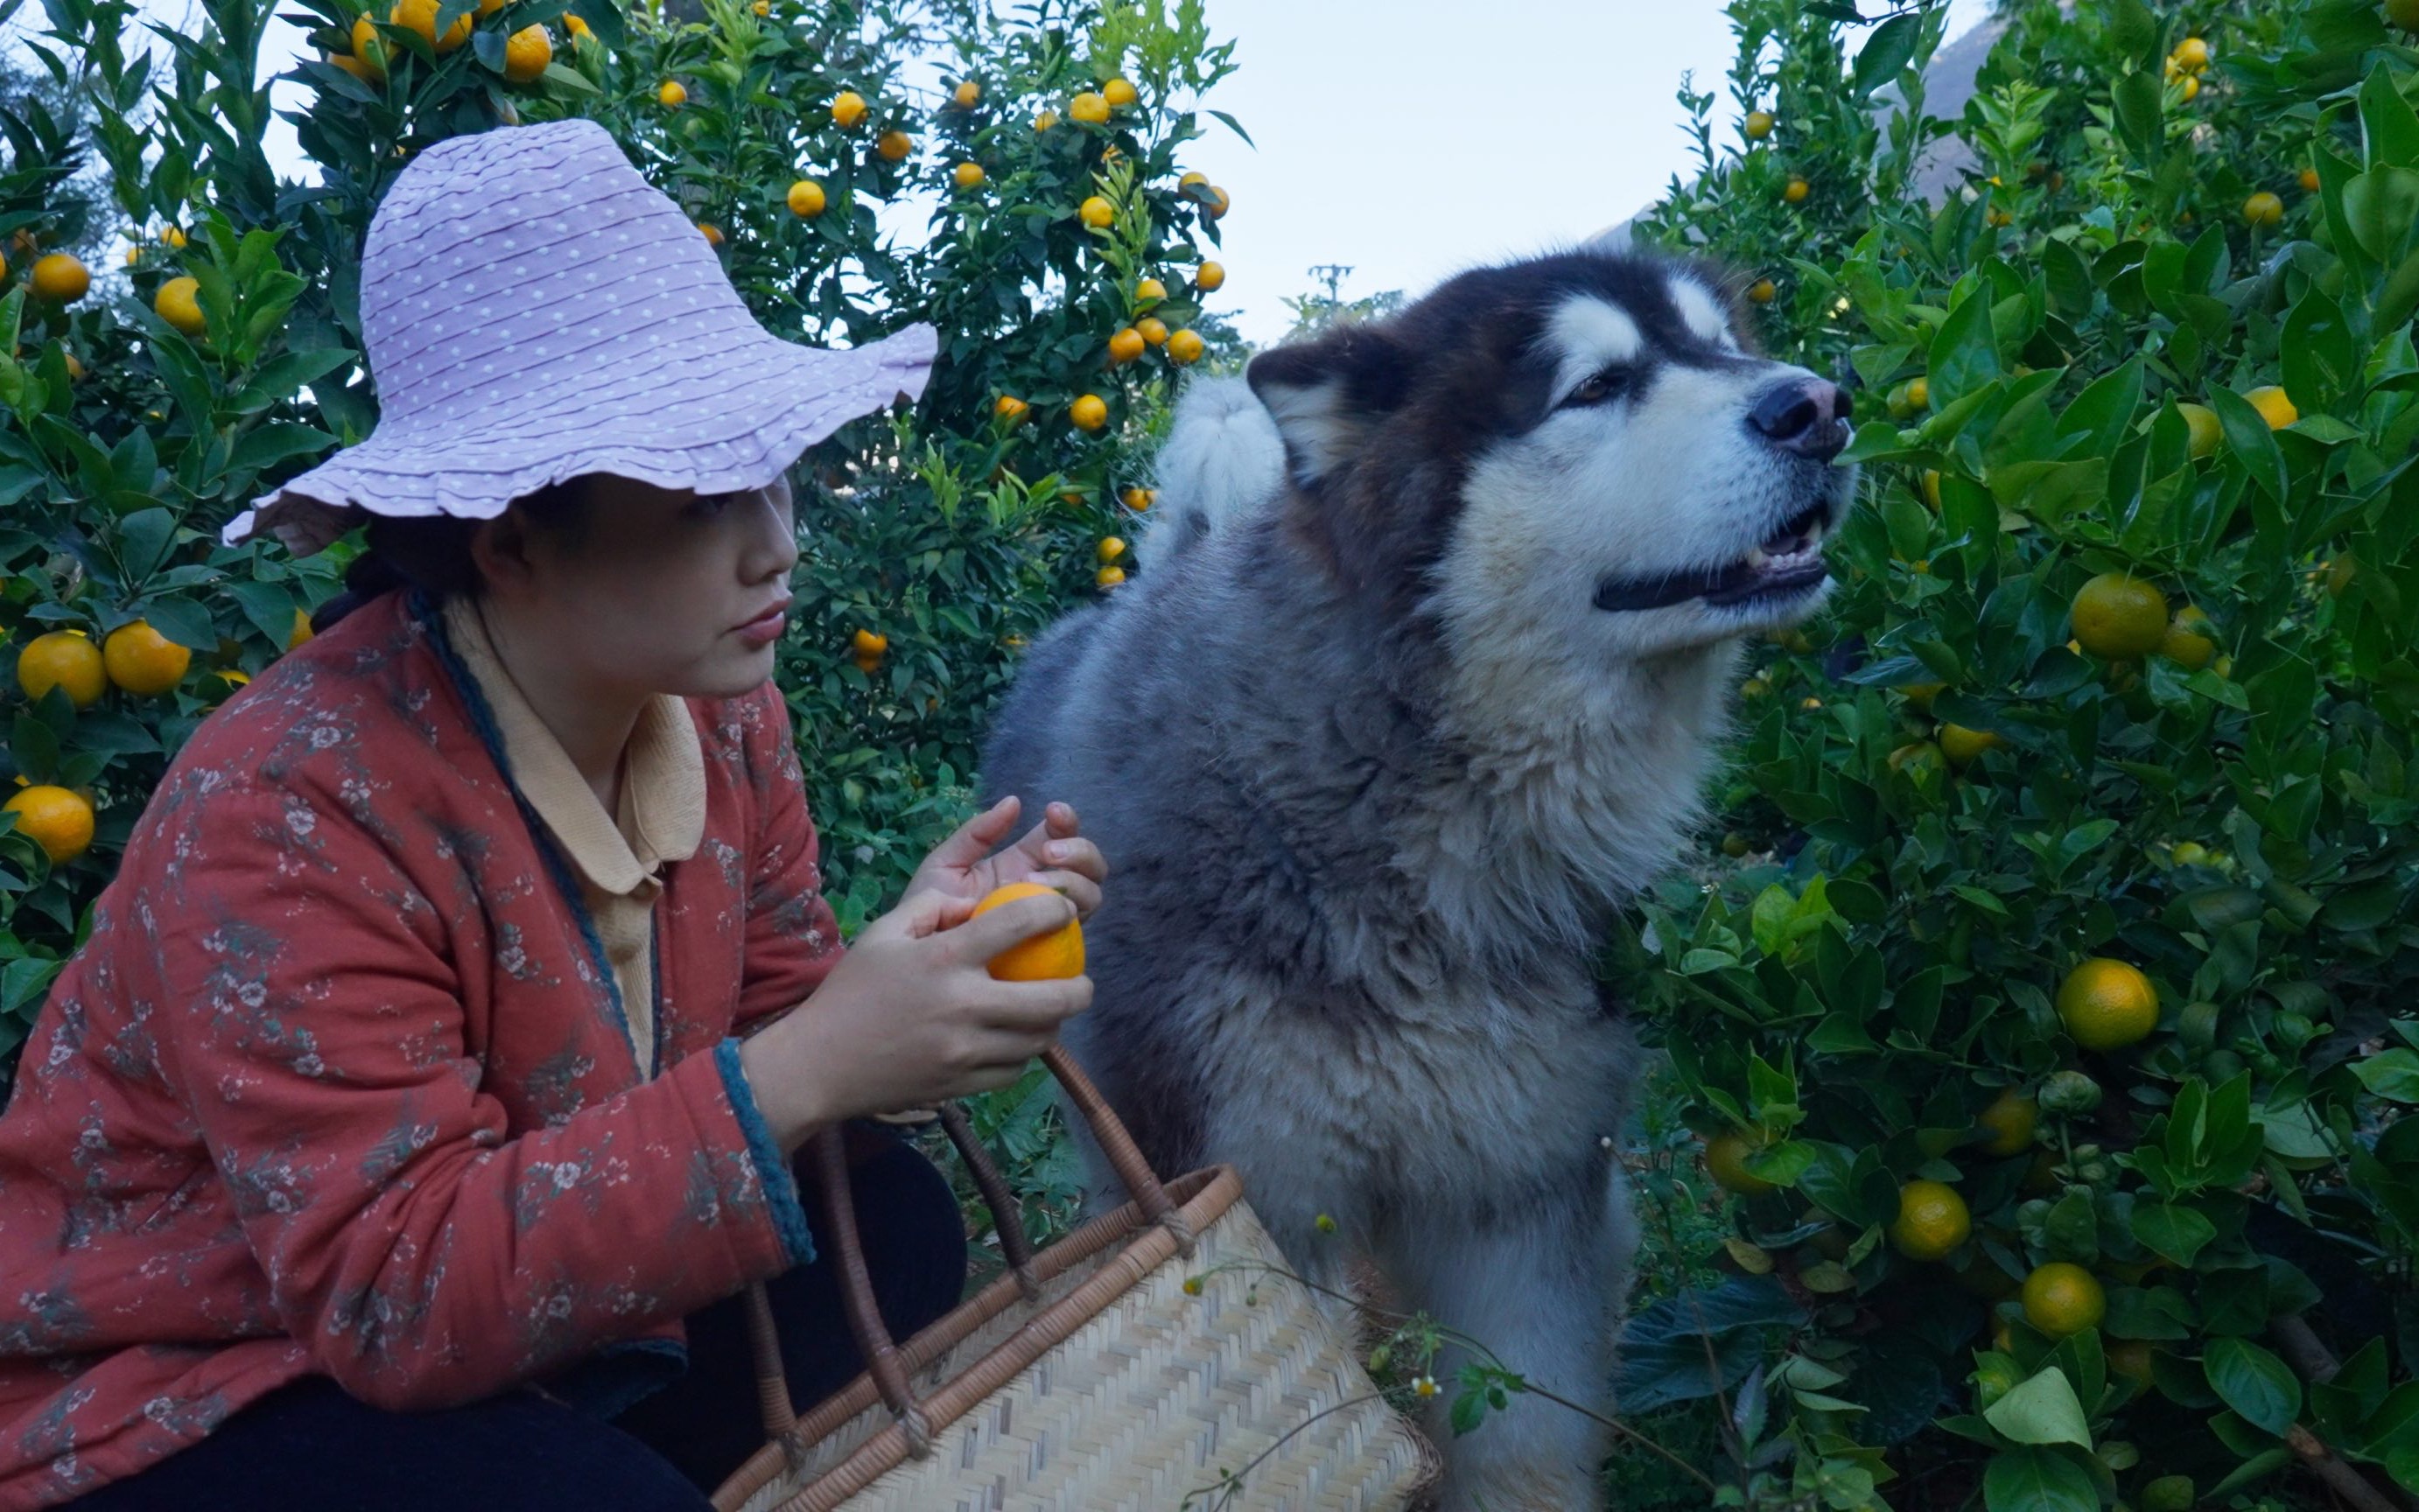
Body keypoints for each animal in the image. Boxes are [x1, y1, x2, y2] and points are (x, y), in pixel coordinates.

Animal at [977, 250, 1848, 1509]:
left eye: (1722, 345)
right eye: (1595, 387)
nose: (1820, 407)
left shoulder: (1518, 1196)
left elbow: (1524, 1443)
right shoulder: (1260, 1198)